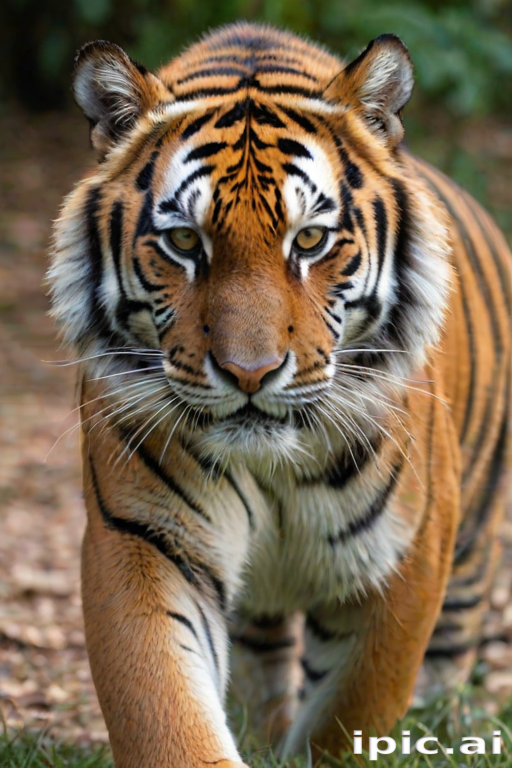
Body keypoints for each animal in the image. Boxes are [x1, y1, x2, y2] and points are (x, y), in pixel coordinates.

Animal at [48, 22, 511, 768]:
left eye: (311, 239)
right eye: (185, 241)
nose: (250, 372)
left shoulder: (403, 556)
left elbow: (351, 716)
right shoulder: (144, 538)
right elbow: (165, 709)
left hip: (471, 547)